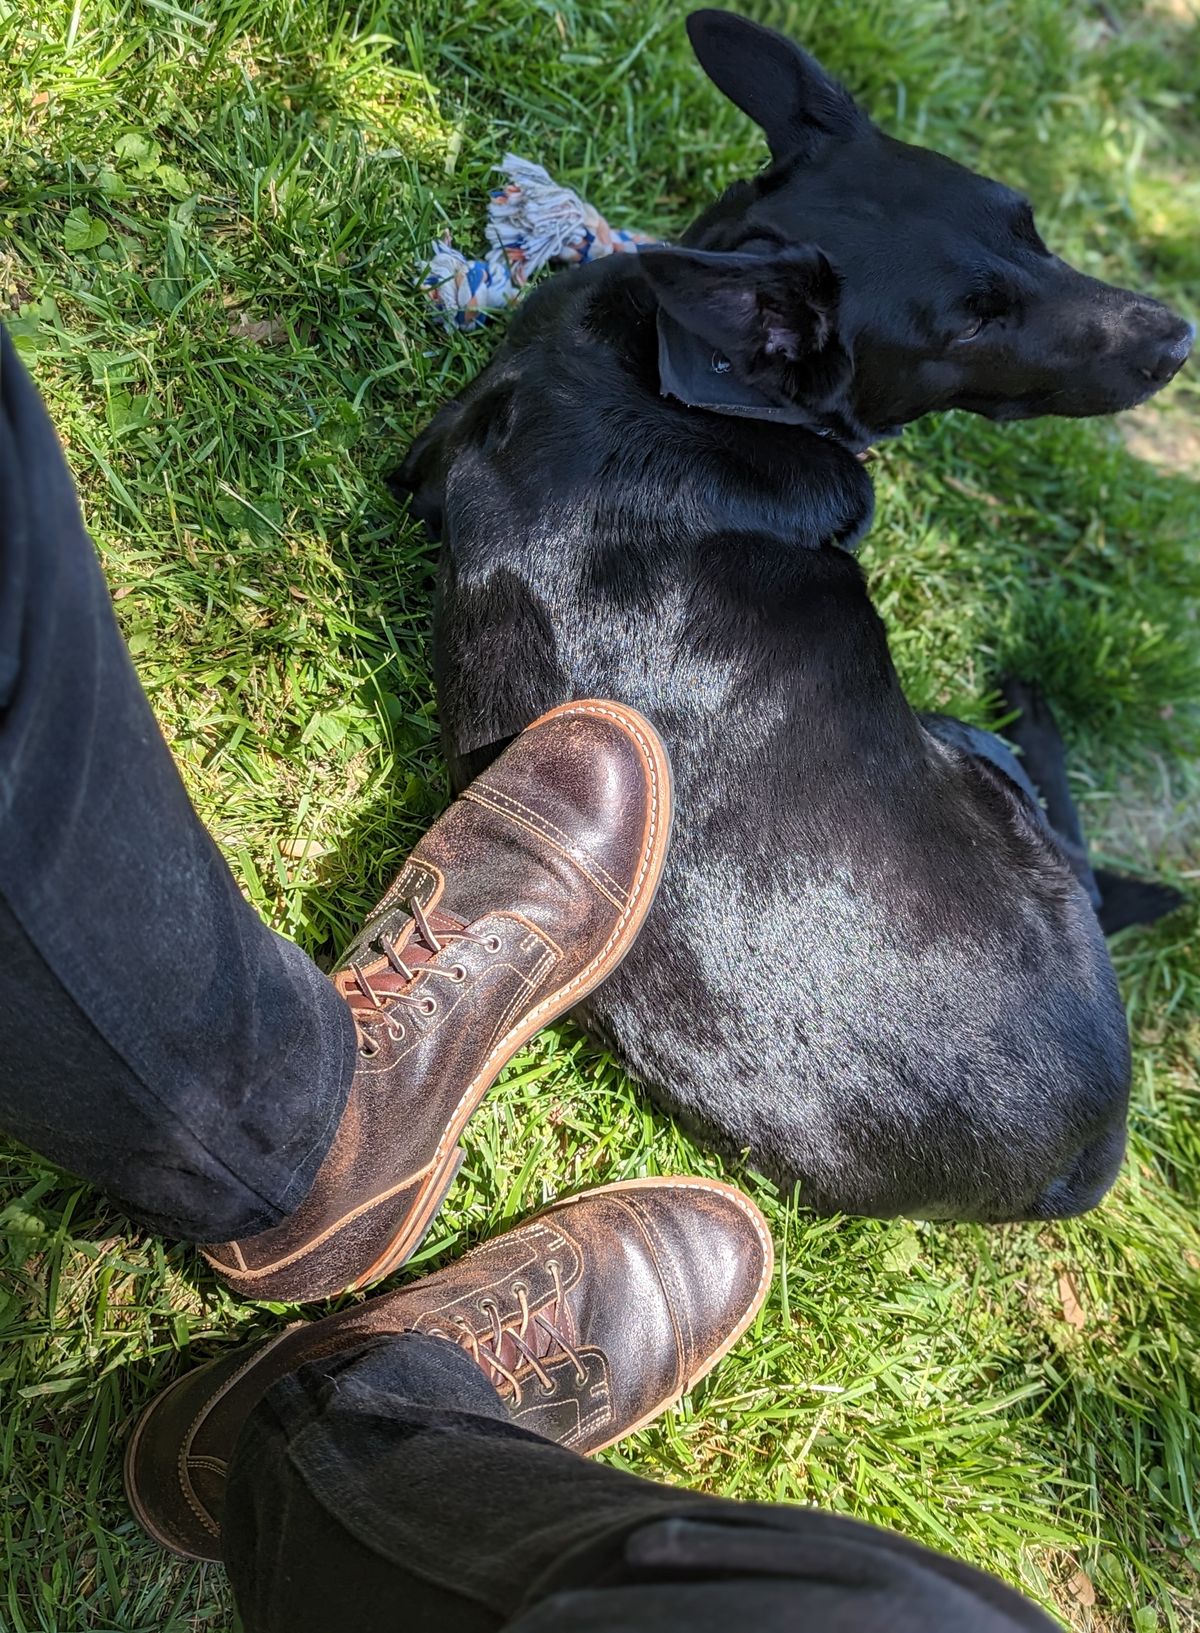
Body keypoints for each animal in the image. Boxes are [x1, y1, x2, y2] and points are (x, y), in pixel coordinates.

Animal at [396, 6, 1195, 1221]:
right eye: (969, 327)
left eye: (1030, 222)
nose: (1177, 339)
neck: (684, 378)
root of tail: (1070, 1165)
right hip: (983, 768)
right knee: (1074, 837)